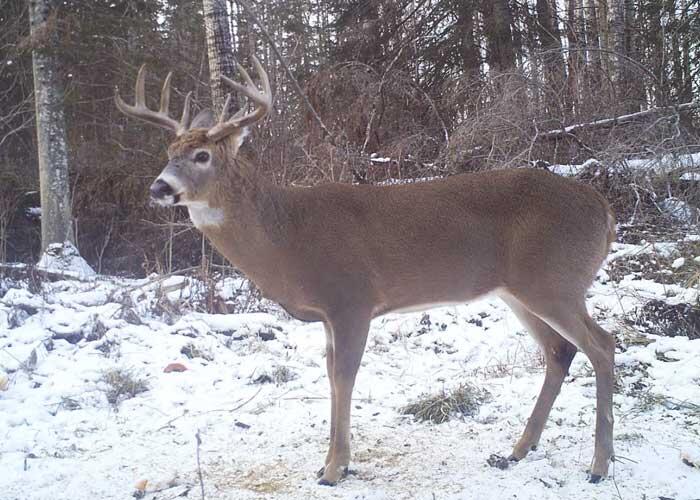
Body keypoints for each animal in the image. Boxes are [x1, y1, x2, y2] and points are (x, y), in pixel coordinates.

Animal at [115, 56, 616, 486]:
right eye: (169, 151)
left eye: (202, 155)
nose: (159, 187)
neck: (287, 238)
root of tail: (604, 209)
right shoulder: (329, 314)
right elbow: (330, 374)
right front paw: (332, 462)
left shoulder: (352, 299)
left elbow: (344, 376)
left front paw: (334, 469)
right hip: (519, 290)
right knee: (559, 351)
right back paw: (518, 449)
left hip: (555, 281)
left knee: (602, 344)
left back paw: (598, 465)